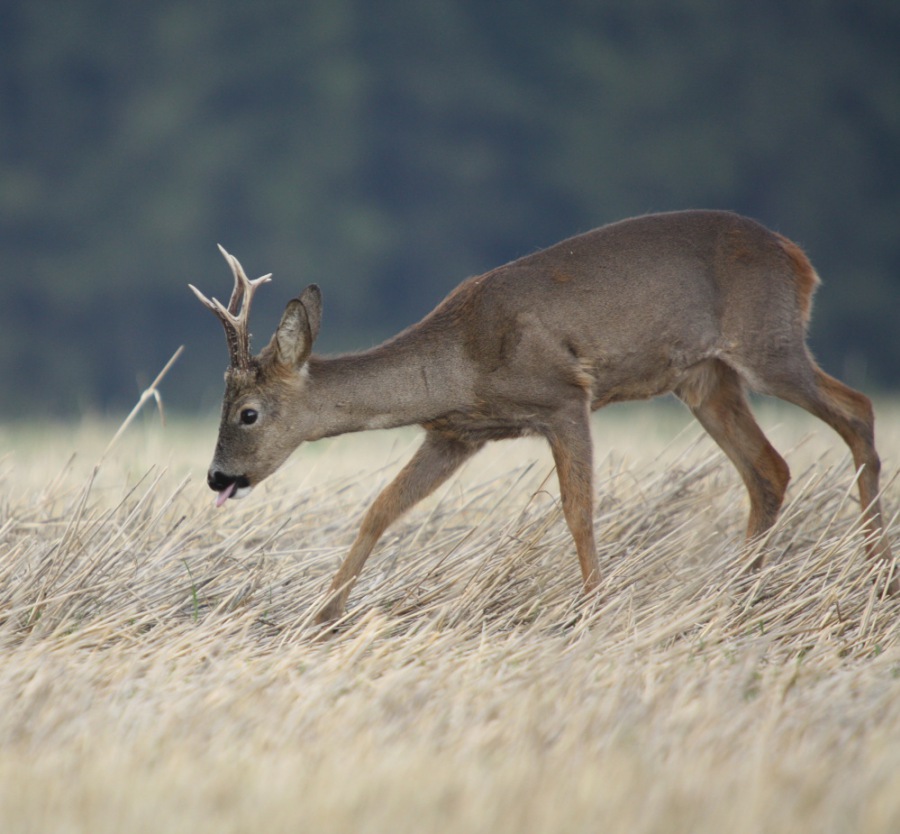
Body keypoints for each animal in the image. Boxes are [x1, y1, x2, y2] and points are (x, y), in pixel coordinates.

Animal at [190, 210, 895, 623]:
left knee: (858, 411)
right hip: (705, 380)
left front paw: (593, 609)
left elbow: (578, 511)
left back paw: (875, 573)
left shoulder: (565, 397)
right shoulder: (456, 434)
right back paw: (741, 595)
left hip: (767, 343)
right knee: (769, 469)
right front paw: (323, 615)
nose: (217, 477)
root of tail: (799, 258)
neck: (461, 361)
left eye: (248, 413)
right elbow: (381, 509)